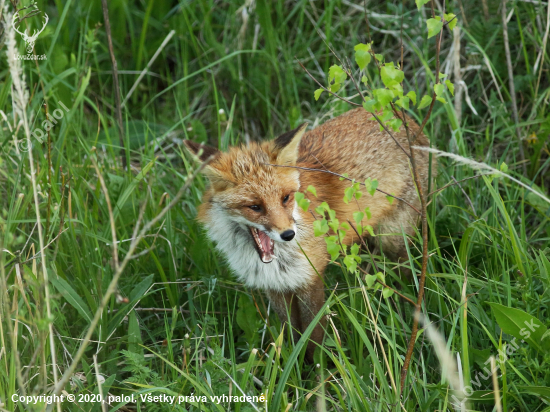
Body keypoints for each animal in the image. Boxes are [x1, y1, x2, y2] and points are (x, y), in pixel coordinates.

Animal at [184, 108, 436, 358]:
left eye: (286, 198)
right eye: (255, 207)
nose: (288, 234)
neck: (278, 262)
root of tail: (401, 114)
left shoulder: (310, 278)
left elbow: (313, 337)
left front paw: (317, 369)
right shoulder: (275, 287)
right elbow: (291, 332)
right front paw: (293, 364)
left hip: (393, 238)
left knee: (405, 270)